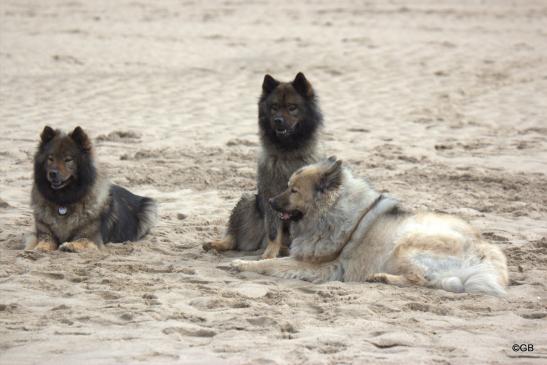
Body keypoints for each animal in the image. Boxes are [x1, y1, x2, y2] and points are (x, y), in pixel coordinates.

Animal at [231, 155, 510, 294]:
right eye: (288, 186)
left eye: (293, 190)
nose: (269, 201)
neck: (330, 213)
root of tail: (488, 254)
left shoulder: (319, 265)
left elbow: (271, 264)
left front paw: (242, 264)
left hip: (405, 244)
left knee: (421, 279)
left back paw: (382, 278)